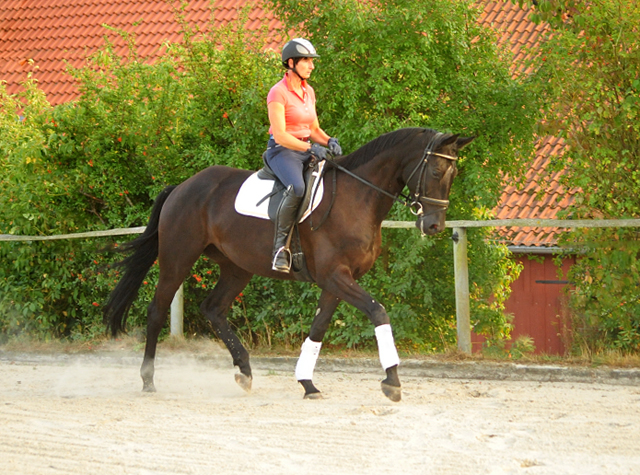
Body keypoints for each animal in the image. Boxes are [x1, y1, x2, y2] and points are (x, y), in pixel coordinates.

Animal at [104, 127, 476, 402]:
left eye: (454, 173)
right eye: (436, 170)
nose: (434, 226)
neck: (357, 198)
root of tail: (182, 186)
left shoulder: (336, 280)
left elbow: (318, 328)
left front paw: (307, 383)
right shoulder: (336, 276)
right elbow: (378, 312)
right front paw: (392, 381)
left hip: (237, 267)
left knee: (213, 308)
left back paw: (244, 371)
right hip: (178, 257)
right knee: (157, 310)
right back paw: (148, 380)